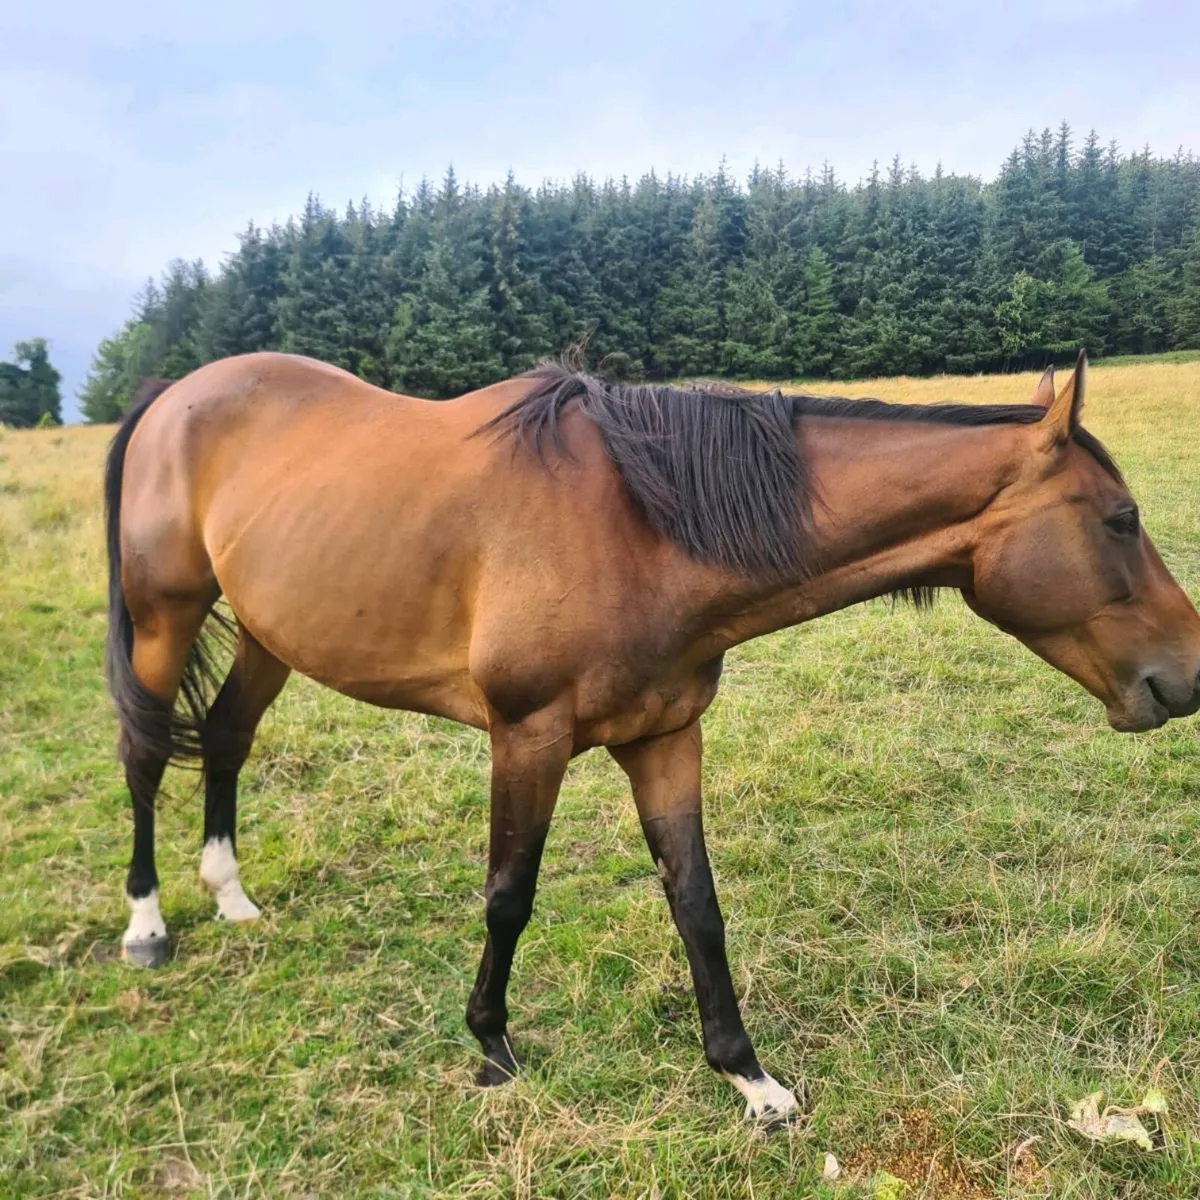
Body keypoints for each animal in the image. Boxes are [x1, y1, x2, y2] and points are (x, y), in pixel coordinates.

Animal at [103, 349, 1200, 1123]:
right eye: (1119, 517)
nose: (1185, 675)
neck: (643, 526)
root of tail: (172, 394)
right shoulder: (527, 736)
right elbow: (509, 898)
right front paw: (492, 1048)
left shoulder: (669, 737)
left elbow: (697, 903)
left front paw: (750, 1080)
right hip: (164, 618)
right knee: (147, 754)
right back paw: (148, 925)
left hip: (267, 633)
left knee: (227, 739)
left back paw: (231, 895)